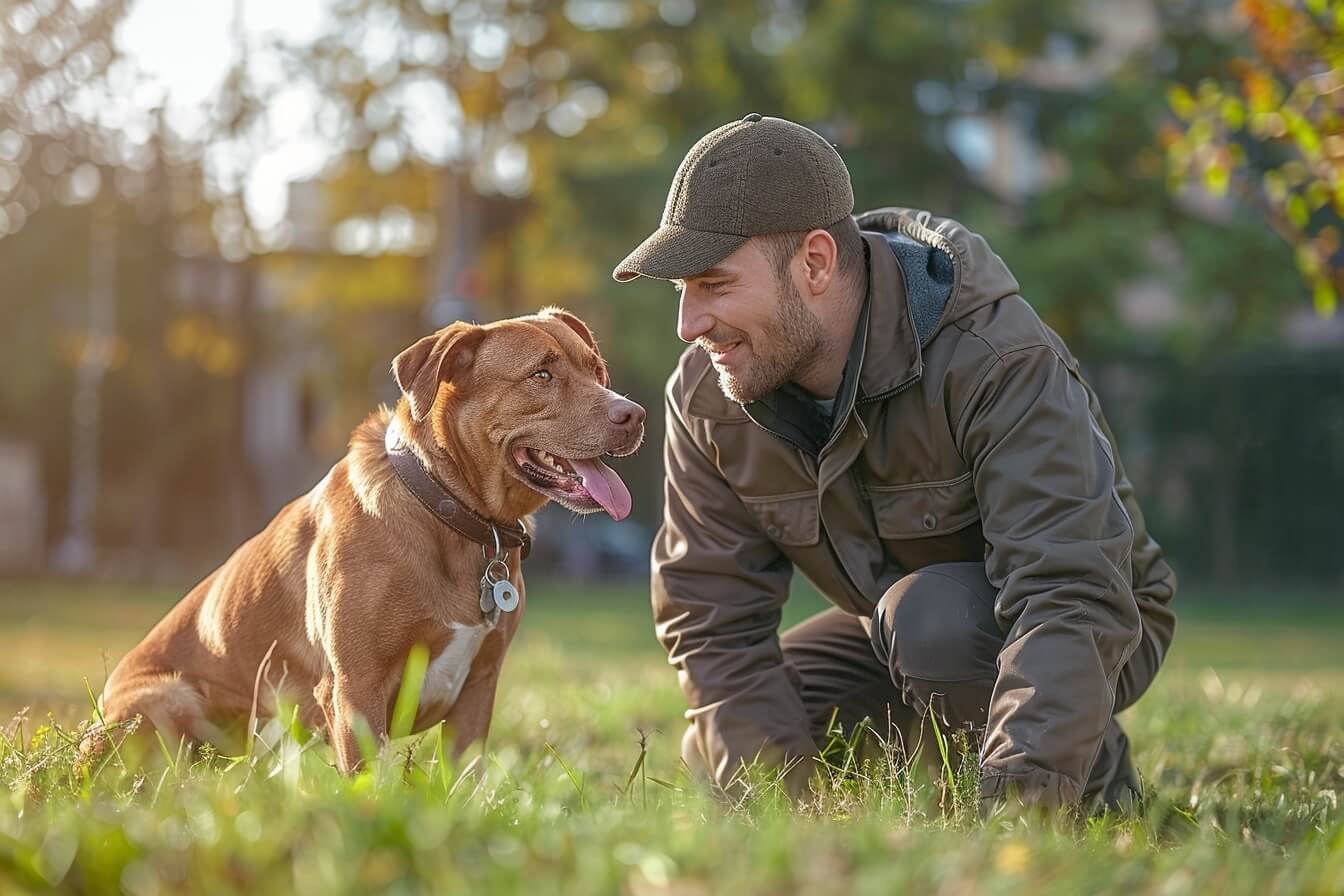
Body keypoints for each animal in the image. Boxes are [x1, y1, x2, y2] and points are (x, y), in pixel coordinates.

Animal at [89, 308, 645, 773]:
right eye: (541, 375)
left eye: (597, 371)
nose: (635, 414)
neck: (450, 511)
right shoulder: (355, 686)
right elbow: (370, 783)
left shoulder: (479, 688)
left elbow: (461, 780)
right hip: (169, 699)